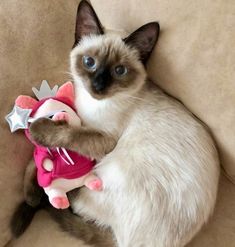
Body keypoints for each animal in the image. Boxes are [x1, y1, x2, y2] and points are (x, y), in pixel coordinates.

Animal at [11, 0, 219, 247]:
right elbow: (39, 157)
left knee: (69, 199)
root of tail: (121, 241)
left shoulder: (103, 139)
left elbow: (68, 135)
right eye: (89, 62)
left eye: (119, 71)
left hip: (106, 172)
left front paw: (39, 131)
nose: (98, 86)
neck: (91, 105)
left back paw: (38, 199)